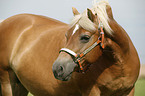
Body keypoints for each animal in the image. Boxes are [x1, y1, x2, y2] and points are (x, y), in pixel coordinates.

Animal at [0, 0, 140, 96]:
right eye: (66, 35)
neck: (119, 66)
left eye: (85, 37)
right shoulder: (91, 92)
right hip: (7, 82)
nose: (57, 68)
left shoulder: (129, 91)